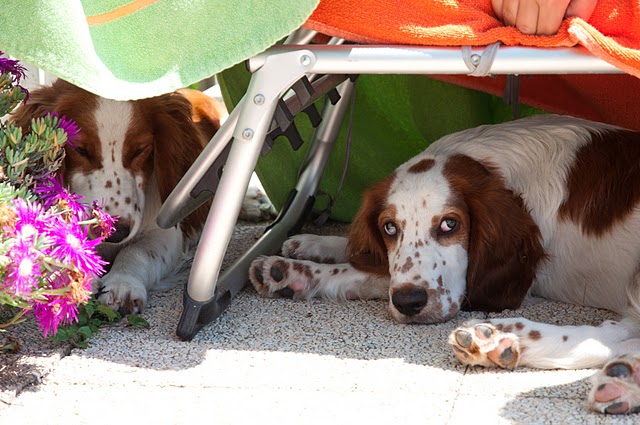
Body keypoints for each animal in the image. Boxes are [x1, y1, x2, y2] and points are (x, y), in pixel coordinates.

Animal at [11, 78, 274, 312]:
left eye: (140, 150)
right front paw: (72, 279)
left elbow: (137, 251)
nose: (116, 233)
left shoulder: (166, 233)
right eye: (81, 149)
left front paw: (122, 284)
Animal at [250, 114, 640, 412]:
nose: (409, 304)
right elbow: (365, 258)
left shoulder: (488, 283)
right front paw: (299, 256)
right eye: (389, 227)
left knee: (616, 333)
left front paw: (299, 270)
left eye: (450, 224)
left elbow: (363, 272)